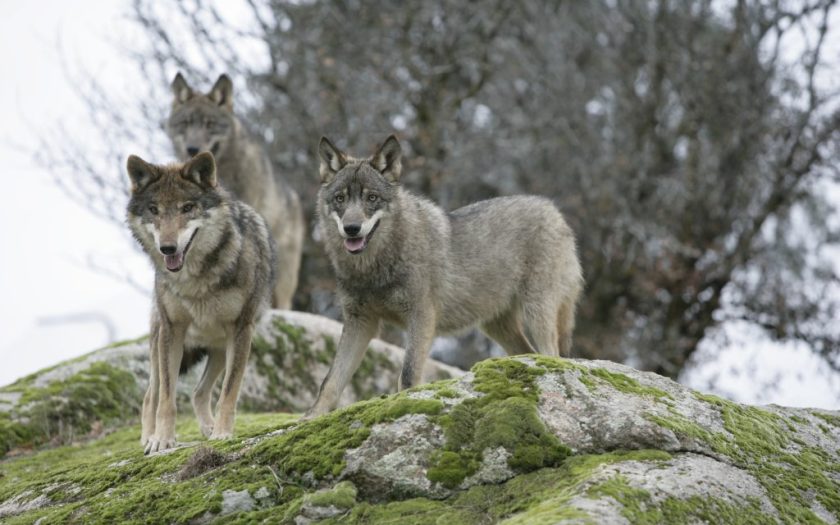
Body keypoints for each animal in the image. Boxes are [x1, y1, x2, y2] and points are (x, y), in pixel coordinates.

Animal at [126, 152, 276, 454]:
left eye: (187, 208)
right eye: (154, 209)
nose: (168, 248)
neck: (195, 280)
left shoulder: (241, 329)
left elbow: (229, 392)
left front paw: (222, 433)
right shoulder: (172, 330)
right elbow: (167, 398)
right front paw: (162, 440)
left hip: (219, 348)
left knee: (198, 392)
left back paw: (208, 428)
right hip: (160, 343)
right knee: (151, 395)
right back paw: (148, 437)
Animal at [307, 135, 583, 417]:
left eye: (372, 197)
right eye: (340, 198)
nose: (352, 229)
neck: (373, 268)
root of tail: (554, 210)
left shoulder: (421, 316)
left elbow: (407, 375)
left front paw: (404, 405)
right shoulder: (360, 322)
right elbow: (330, 382)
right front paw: (311, 417)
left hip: (537, 312)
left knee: (552, 355)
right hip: (497, 326)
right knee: (529, 353)